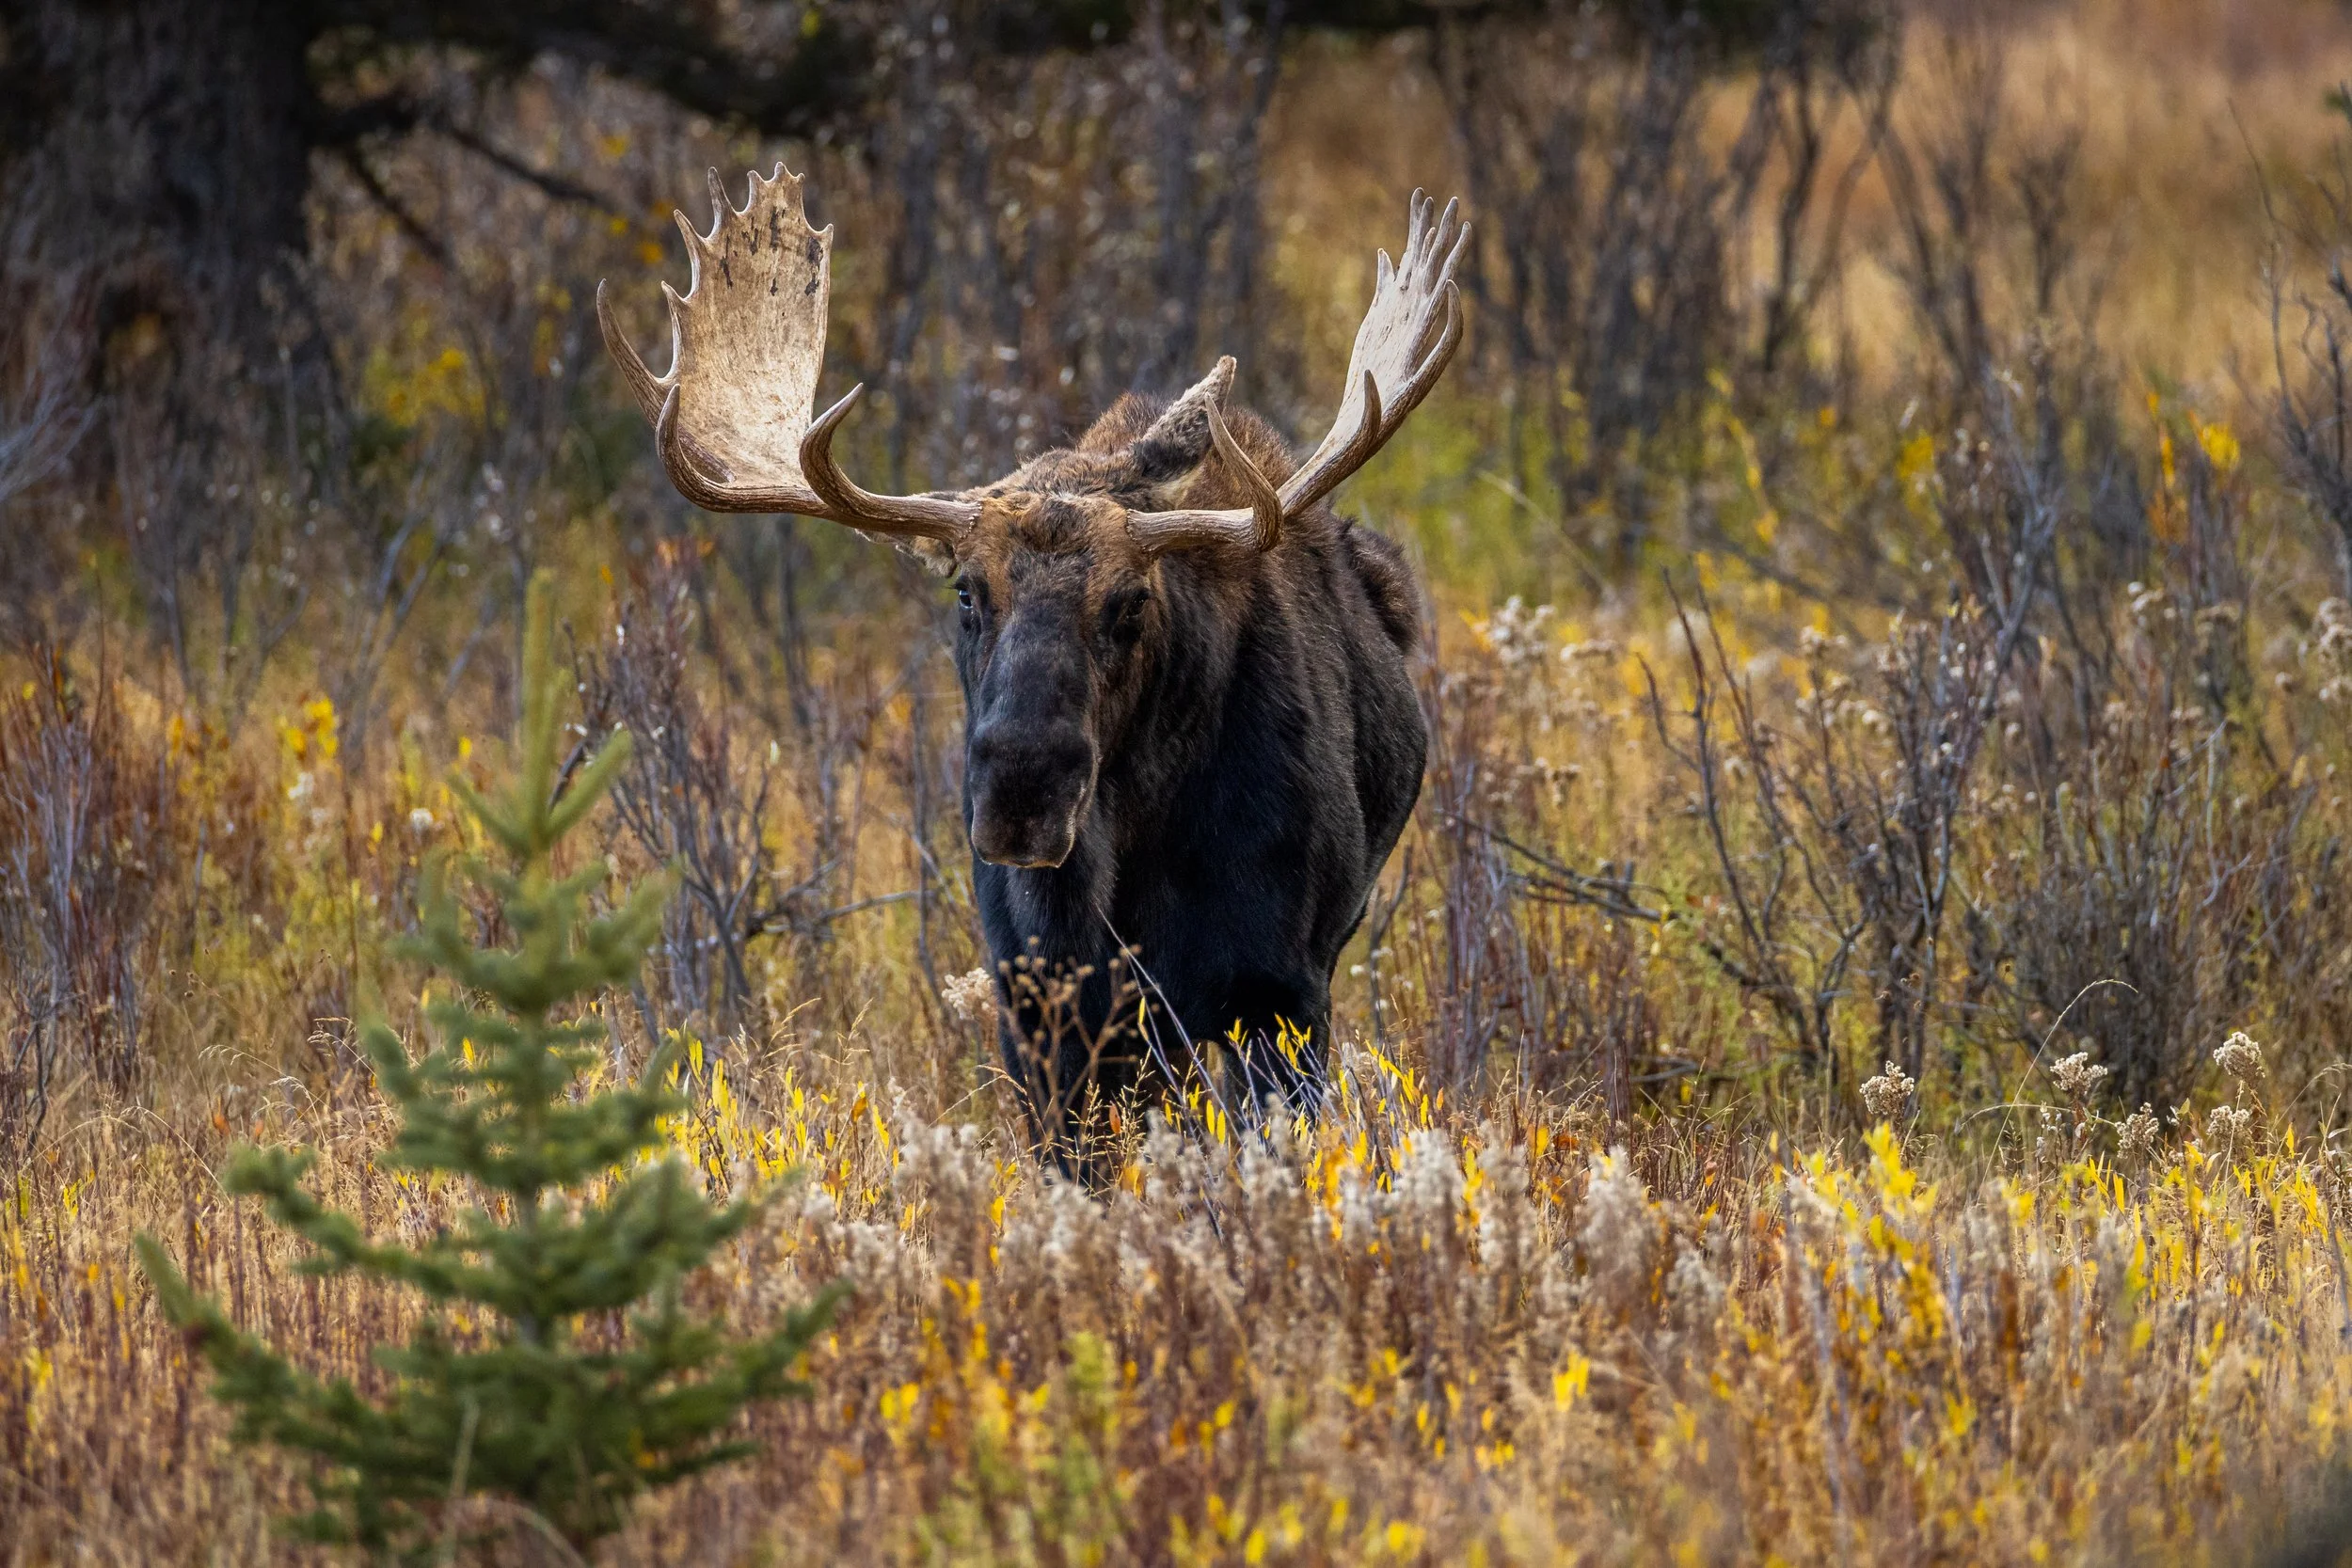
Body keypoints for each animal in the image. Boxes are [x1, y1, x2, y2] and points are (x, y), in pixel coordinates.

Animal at [601, 166, 1464, 1175]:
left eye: (1131, 602)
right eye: (966, 593)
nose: (1022, 790)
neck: (1123, 873)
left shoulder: (1279, 991)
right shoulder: (1041, 1010)